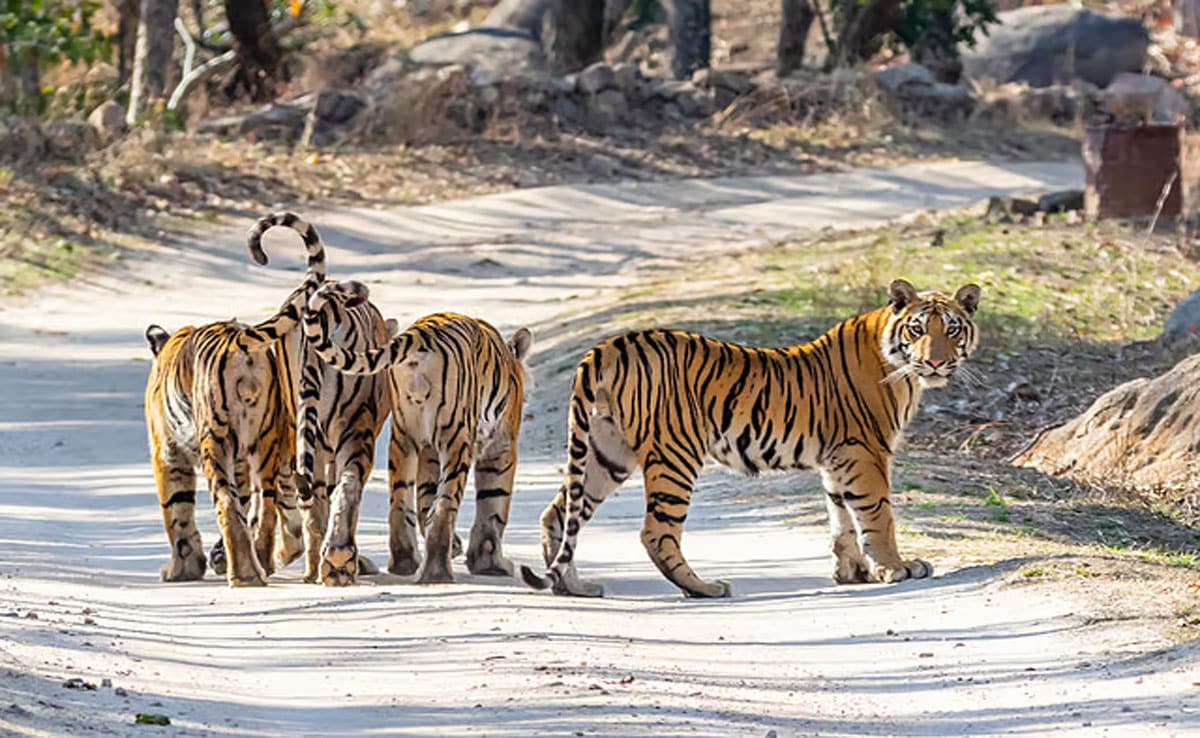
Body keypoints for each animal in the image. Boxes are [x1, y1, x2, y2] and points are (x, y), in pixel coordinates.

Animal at [143, 213, 325, 587]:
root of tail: (237, 338)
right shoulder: (240, 460)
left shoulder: (166, 452)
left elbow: (176, 512)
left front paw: (180, 569)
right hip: (263, 440)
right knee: (266, 505)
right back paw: (259, 563)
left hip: (215, 439)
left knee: (226, 502)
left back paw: (244, 574)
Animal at [302, 280, 533, 583]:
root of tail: (421, 334)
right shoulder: (501, 446)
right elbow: (493, 504)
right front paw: (491, 563)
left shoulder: (427, 448)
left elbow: (425, 499)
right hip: (456, 438)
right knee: (445, 504)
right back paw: (436, 572)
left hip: (403, 437)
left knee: (399, 501)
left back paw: (404, 562)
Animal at [520, 279, 981, 598]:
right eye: (918, 330)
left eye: (952, 330)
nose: (935, 362)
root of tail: (610, 344)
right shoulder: (865, 452)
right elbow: (877, 514)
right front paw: (897, 567)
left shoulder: (838, 459)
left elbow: (841, 517)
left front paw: (854, 573)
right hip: (675, 454)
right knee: (656, 532)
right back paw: (704, 588)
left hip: (605, 451)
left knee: (558, 513)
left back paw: (573, 586)